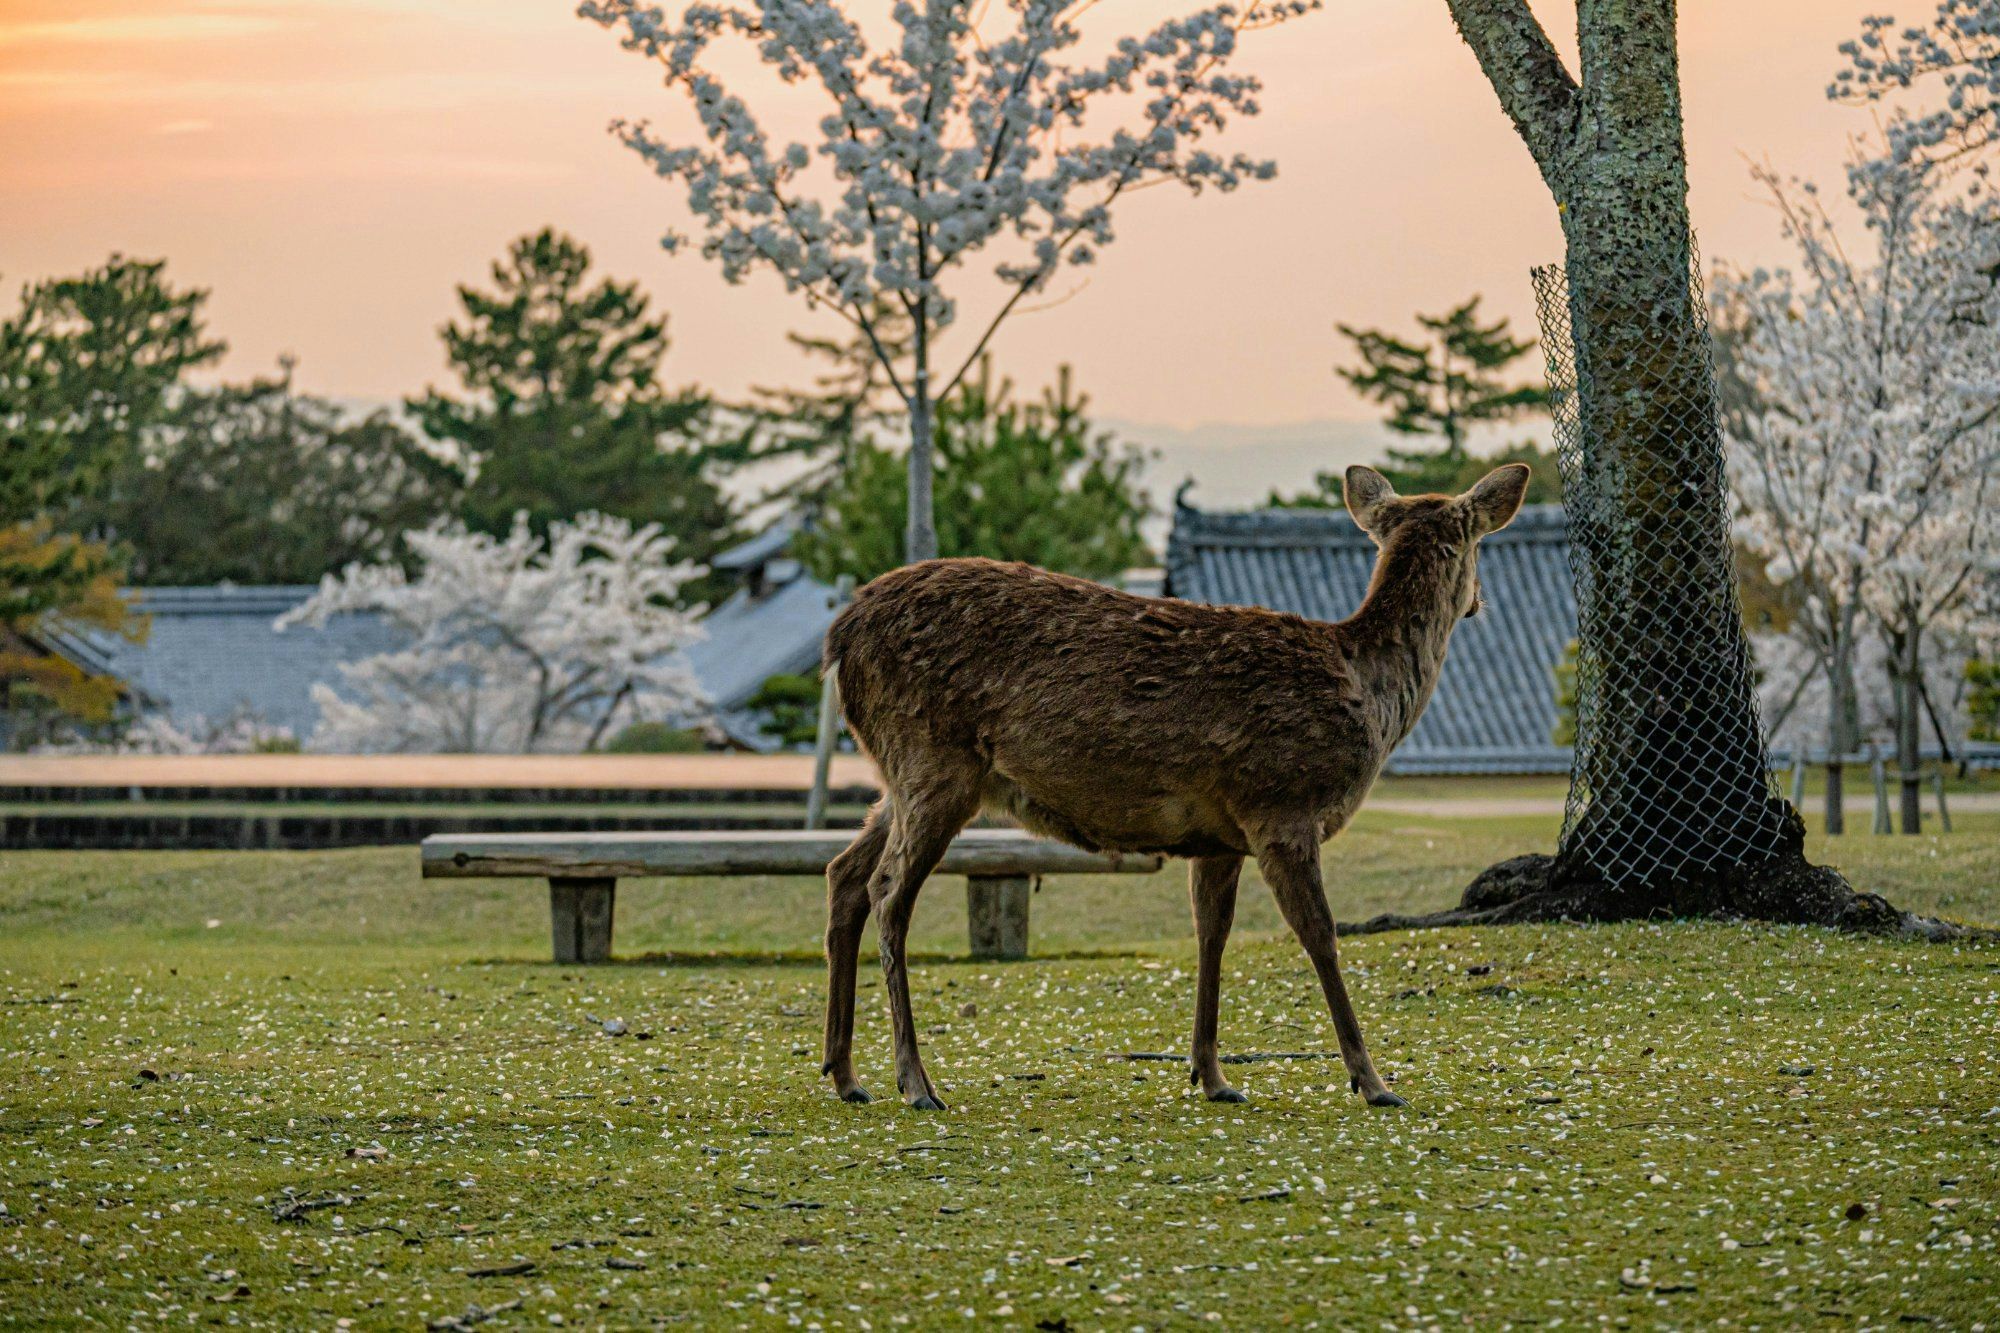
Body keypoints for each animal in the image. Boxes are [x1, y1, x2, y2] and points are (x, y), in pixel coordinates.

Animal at [818, 462, 1532, 1112]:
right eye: (1475, 543)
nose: (1479, 600)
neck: (1370, 700)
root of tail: (840, 637)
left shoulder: (1220, 834)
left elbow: (1210, 935)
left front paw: (1212, 1076)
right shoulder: (1281, 804)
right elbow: (1321, 935)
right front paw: (1374, 1082)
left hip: (904, 776)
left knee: (844, 871)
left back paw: (845, 1073)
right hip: (932, 758)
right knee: (888, 891)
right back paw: (915, 1083)